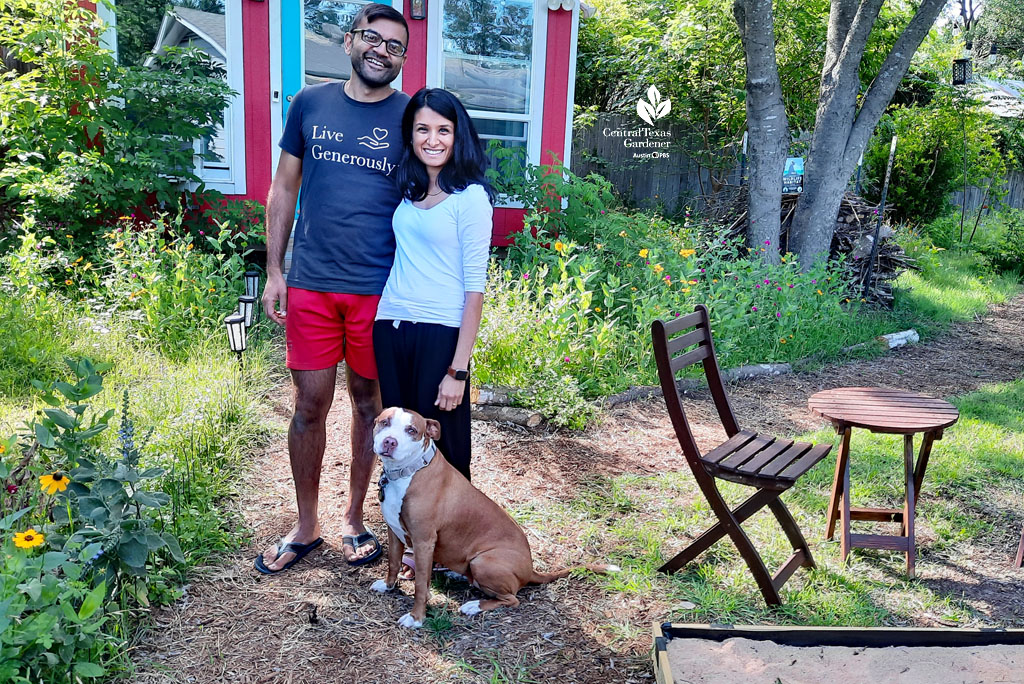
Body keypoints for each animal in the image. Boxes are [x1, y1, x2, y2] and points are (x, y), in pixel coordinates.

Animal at [372, 409, 618, 626]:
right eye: (384, 422)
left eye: (411, 430)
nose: (390, 442)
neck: (408, 471)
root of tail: (530, 570)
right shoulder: (394, 530)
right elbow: (393, 562)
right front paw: (388, 586)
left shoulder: (423, 541)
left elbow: (421, 586)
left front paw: (416, 618)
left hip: (483, 562)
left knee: (512, 599)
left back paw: (475, 605)